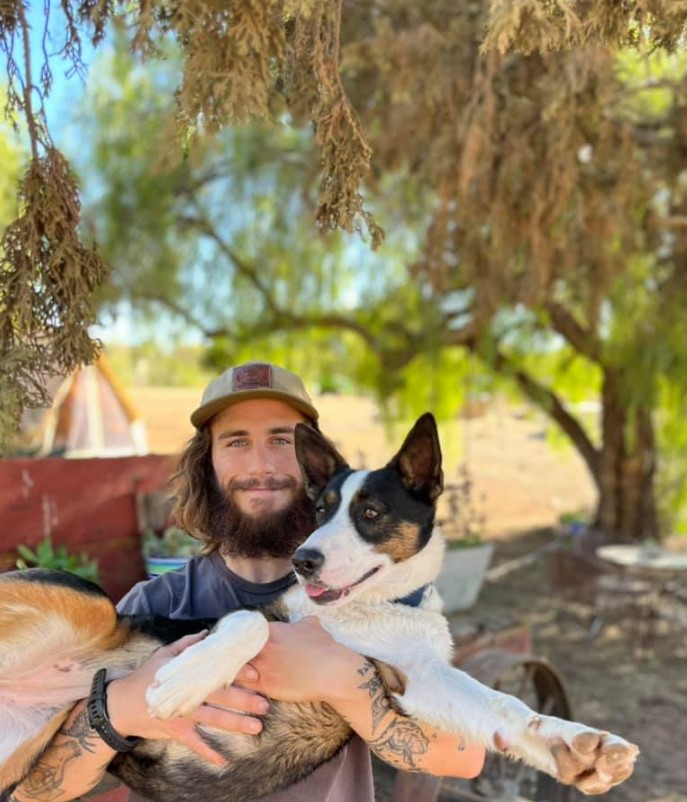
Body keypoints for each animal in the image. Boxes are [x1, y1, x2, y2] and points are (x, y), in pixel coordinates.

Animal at [0, 412, 640, 800]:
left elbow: (505, 707)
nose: (303, 559)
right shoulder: (269, 618)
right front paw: (186, 677)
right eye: (320, 509)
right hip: (89, 601)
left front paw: (576, 748)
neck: (370, 609)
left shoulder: (418, 683)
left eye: (371, 513)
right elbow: (248, 621)